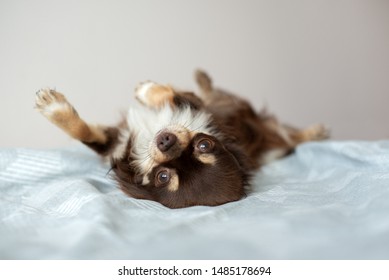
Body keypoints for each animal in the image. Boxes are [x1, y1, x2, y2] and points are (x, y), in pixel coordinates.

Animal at [35, 71, 328, 209]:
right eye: (203, 145)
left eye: (163, 177)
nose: (166, 141)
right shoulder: (120, 141)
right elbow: (82, 131)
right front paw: (54, 108)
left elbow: (172, 95)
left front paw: (145, 90)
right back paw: (203, 77)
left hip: (275, 143)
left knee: (290, 136)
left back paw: (315, 133)